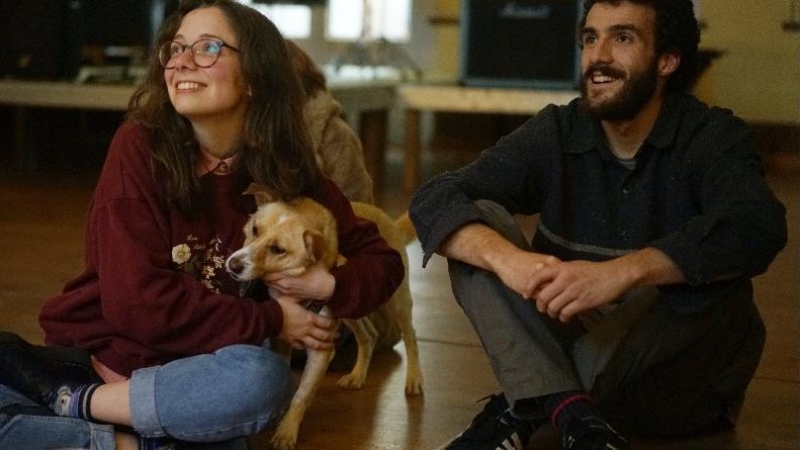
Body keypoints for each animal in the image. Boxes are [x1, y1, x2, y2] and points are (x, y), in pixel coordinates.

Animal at [225, 184, 422, 450]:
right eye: (255, 229)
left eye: (278, 249)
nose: (233, 265)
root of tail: (385, 217)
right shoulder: (282, 340)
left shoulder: (321, 350)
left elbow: (301, 395)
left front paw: (286, 431)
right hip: (350, 303)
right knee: (369, 335)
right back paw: (357, 375)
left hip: (395, 300)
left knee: (410, 336)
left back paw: (414, 379)